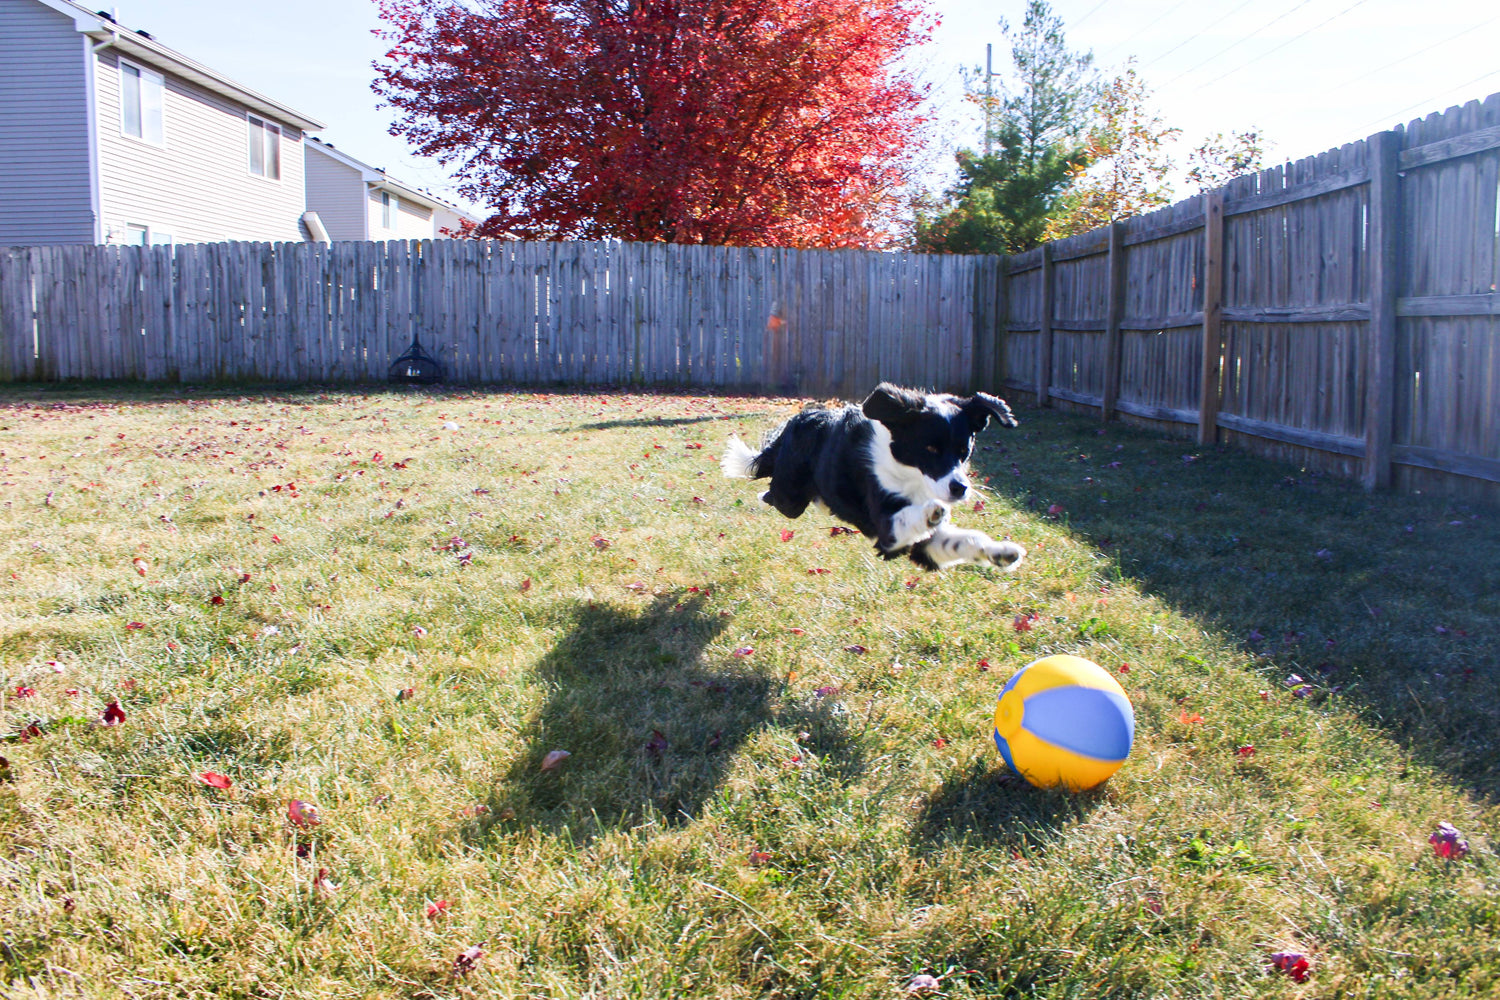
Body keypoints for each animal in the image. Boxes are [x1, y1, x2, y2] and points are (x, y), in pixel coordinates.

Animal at [720, 383, 1026, 569]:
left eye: (965, 450)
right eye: (930, 448)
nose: (960, 488)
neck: (908, 472)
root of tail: (795, 421)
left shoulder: (924, 544)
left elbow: (963, 540)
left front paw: (1001, 553)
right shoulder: (887, 531)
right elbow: (906, 518)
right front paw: (931, 513)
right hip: (790, 496)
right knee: (773, 493)